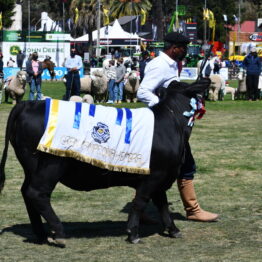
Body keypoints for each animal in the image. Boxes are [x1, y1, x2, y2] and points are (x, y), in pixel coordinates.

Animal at [0, 78, 210, 246]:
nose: (206, 81)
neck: (171, 123)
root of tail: (27, 104)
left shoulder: (162, 176)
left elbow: (162, 204)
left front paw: (173, 230)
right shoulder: (154, 176)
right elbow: (140, 202)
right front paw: (133, 233)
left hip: (31, 168)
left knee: (26, 193)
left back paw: (41, 234)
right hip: (51, 166)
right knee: (37, 193)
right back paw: (58, 233)